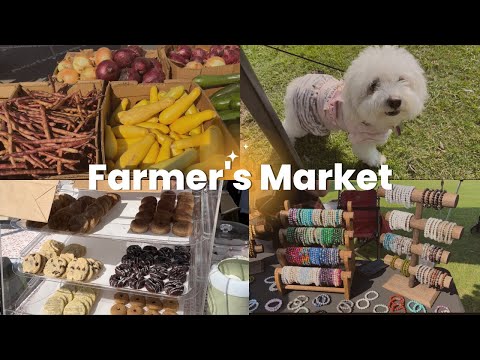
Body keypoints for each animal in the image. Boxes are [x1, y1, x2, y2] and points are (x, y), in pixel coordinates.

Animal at [284, 45, 426, 167]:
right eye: (373, 85)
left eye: (401, 79)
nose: (395, 101)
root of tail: (294, 85)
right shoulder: (362, 138)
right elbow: (368, 153)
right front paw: (377, 160)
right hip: (301, 122)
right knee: (288, 127)